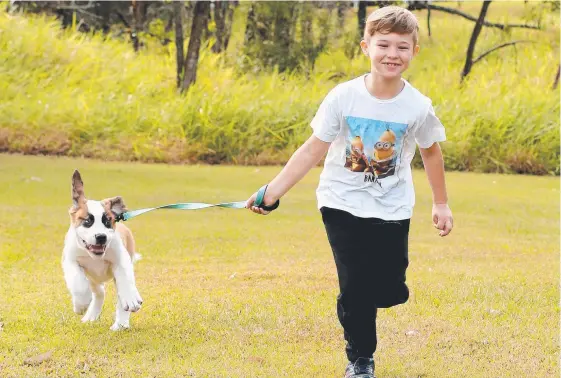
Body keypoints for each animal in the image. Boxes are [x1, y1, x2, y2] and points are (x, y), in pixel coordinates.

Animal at [61, 170, 142, 330]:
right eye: (87, 221)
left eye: (107, 221)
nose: (101, 237)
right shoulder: (70, 261)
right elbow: (79, 284)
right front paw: (81, 305)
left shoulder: (121, 260)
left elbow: (125, 281)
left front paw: (130, 299)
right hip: (93, 278)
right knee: (99, 292)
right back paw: (90, 316)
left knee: (121, 292)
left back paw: (121, 323)